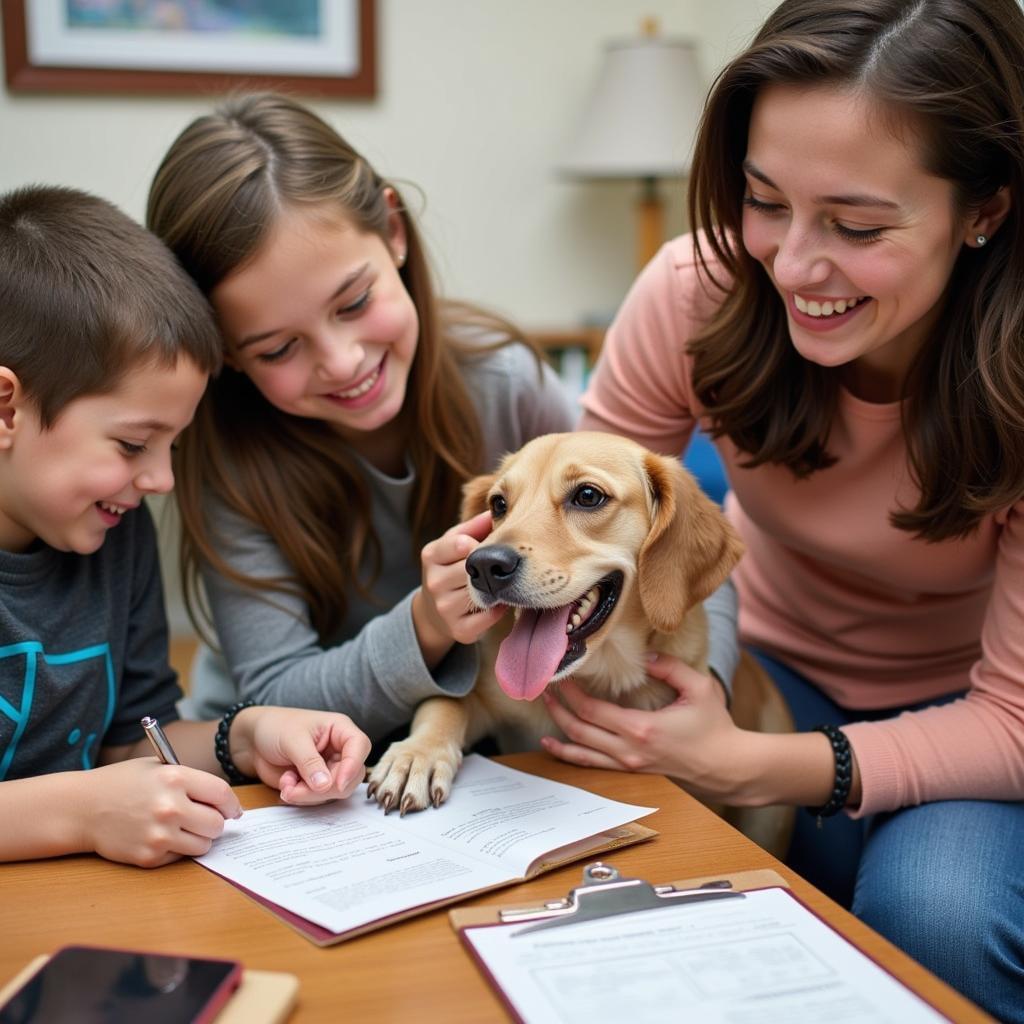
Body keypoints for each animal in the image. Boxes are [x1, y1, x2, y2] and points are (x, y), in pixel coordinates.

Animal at [368, 432, 790, 856]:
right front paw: (414, 756)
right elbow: (444, 704)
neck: (599, 673)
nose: (483, 565)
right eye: (498, 504)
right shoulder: (485, 698)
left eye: (588, 496)